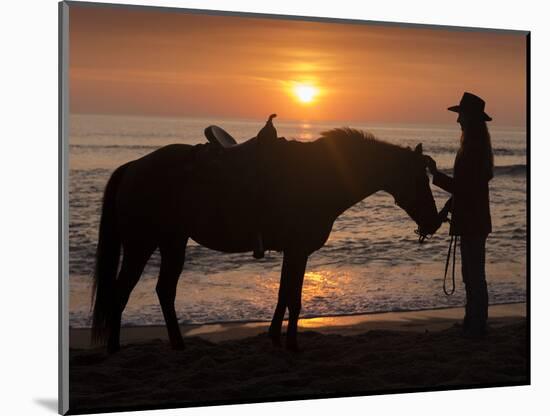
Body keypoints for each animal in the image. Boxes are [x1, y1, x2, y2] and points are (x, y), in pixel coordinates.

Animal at [92, 126, 442, 352]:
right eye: (418, 179)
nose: (434, 221)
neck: (320, 175)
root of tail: (133, 167)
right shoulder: (298, 250)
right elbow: (294, 298)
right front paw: (293, 344)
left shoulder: (294, 251)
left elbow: (284, 295)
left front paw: (275, 337)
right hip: (141, 244)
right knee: (121, 292)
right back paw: (115, 348)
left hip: (172, 242)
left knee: (163, 291)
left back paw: (178, 346)